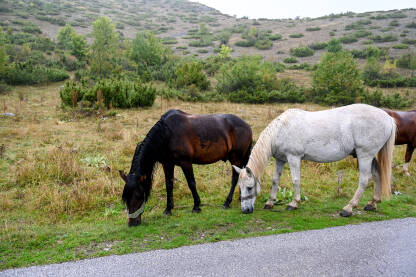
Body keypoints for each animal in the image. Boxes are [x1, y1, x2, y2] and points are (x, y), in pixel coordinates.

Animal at [118, 109, 252, 225]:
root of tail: (247, 126)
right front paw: (168, 209)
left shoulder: (186, 163)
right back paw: (241, 197)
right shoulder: (167, 164)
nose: (132, 223)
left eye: (138, 196)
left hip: (235, 158)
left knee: (235, 178)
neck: (166, 134)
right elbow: (169, 185)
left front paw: (196, 206)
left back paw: (227, 202)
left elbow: (191, 183)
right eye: (125, 198)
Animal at [234, 103, 396, 216]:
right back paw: (372, 204)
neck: (281, 130)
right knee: (377, 174)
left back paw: (348, 208)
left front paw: (294, 203)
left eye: (249, 187)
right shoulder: (280, 160)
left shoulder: (294, 157)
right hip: (370, 156)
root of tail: (388, 118)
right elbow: (275, 180)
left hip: (365, 155)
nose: (245, 210)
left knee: (364, 180)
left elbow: (295, 180)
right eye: (240, 187)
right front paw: (270, 202)